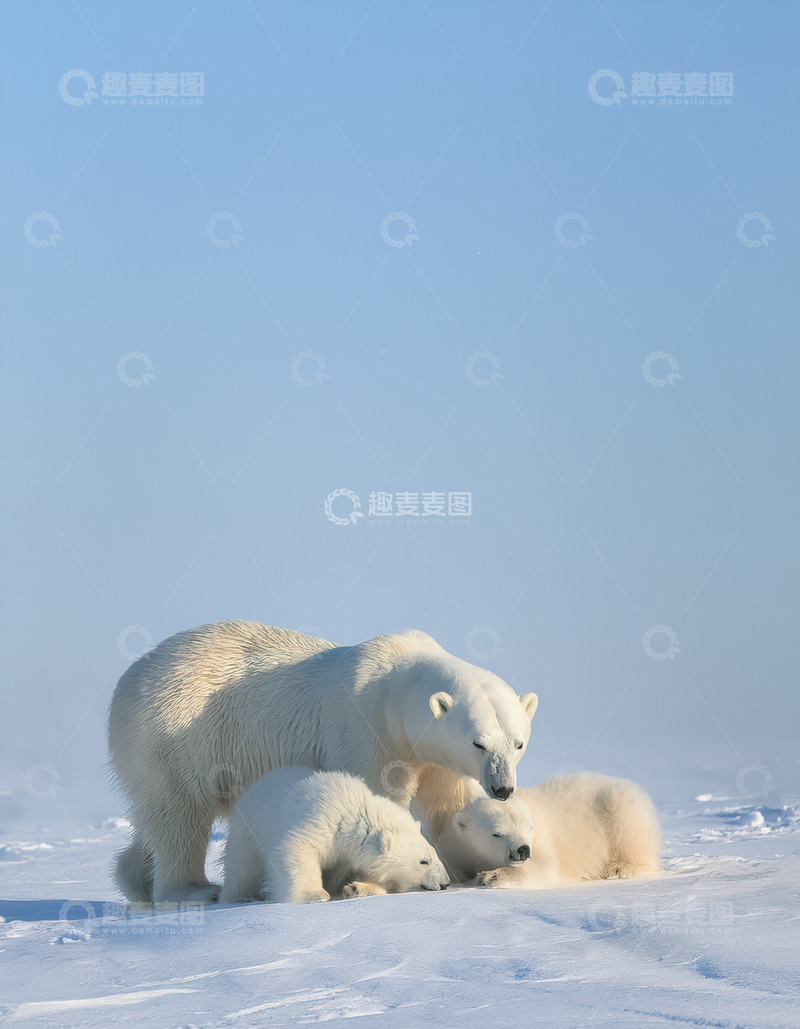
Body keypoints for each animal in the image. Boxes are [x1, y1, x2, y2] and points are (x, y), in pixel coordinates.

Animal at [219, 767, 449, 904]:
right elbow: (297, 847)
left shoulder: (348, 856)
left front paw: (358, 888)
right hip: (251, 823)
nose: (445, 883)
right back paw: (240, 896)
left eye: (434, 854)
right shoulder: (322, 820)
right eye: (423, 861)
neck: (353, 811)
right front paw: (315, 894)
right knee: (243, 863)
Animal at [435, 772, 661, 888]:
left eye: (528, 828)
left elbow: (543, 868)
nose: (522, 850)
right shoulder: (455, 842)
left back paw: (619, 868)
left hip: (621, 805)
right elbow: (450, 865)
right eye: (496, 833)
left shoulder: (541, 839)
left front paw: (492, 876)